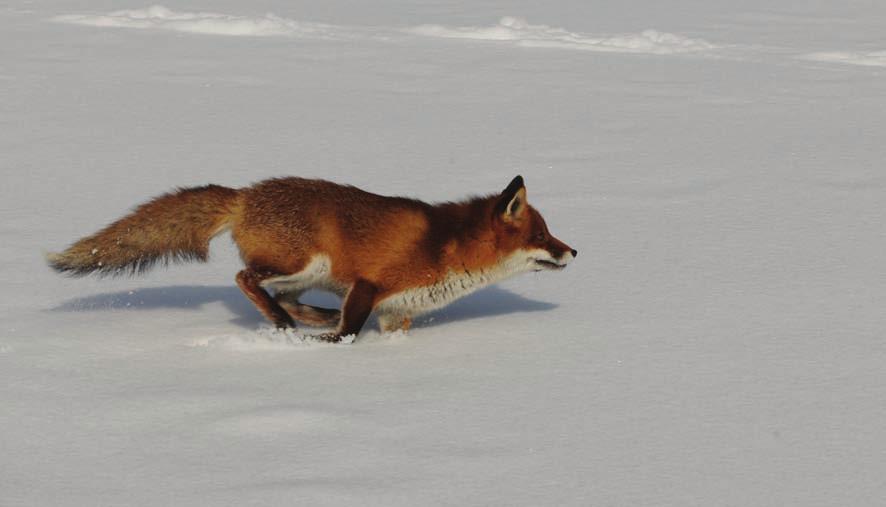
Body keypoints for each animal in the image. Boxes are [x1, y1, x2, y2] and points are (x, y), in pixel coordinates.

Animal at [48, 177, 580, 344]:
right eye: (541, 235)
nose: (573, 250)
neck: (448, 250)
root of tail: (245, 195)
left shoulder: (396, 314)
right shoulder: (370, 284)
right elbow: (349, 333)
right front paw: (329, 347)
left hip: (305, 275)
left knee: (281, 297)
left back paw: (300, 319)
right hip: (304, 262)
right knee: (245, 278)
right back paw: (289, 324)